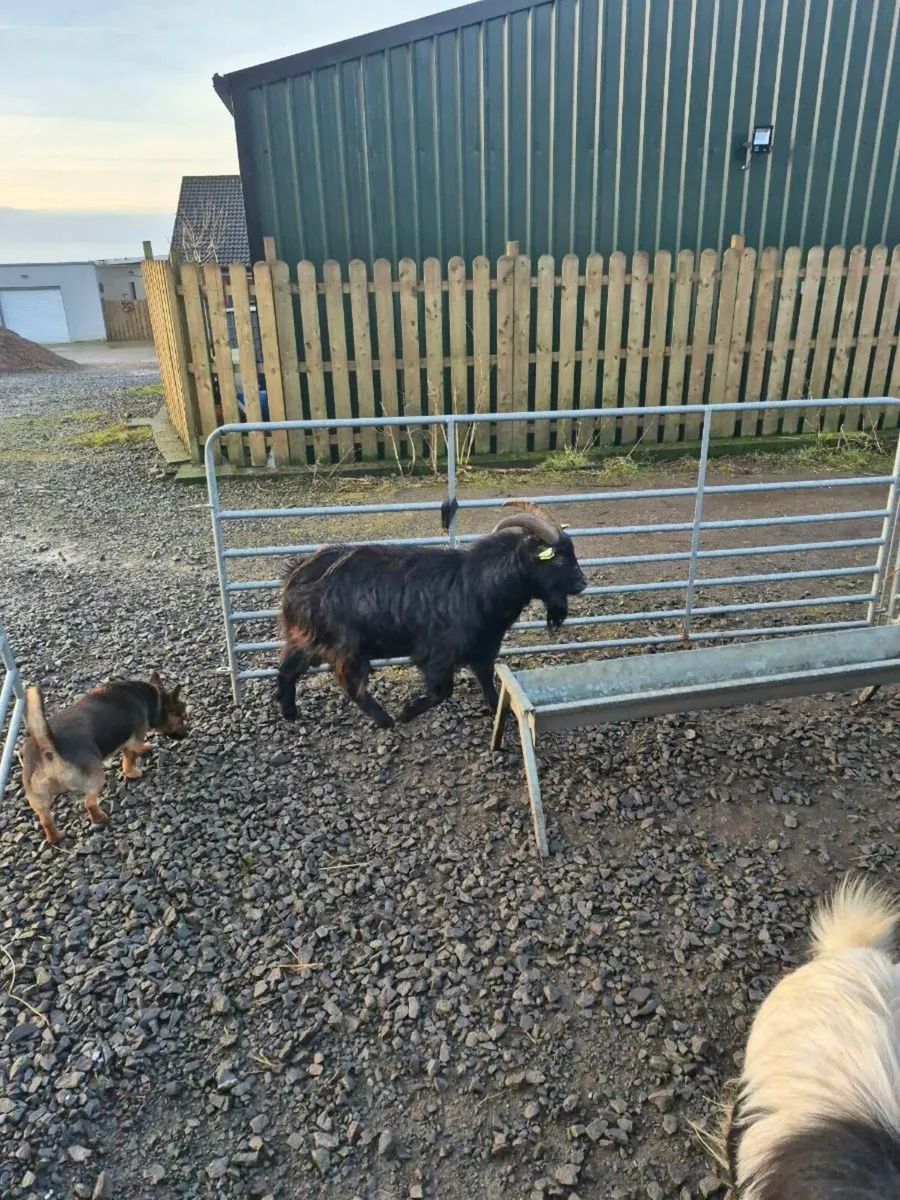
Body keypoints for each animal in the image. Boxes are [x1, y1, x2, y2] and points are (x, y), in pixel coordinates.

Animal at [276, 502, 587, 728]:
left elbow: (487, 680)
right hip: (345, 643)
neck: (477, 585)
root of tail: (296, 575)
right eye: (558, 557)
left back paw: (290, 712)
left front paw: (499, 713)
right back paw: (385, 720)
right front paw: (406, 712)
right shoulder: (438, 653)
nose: (582, 582)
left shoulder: (483, 648)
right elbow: (442, 691)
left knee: (288, 668)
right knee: (349, 682)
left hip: (307, 636)